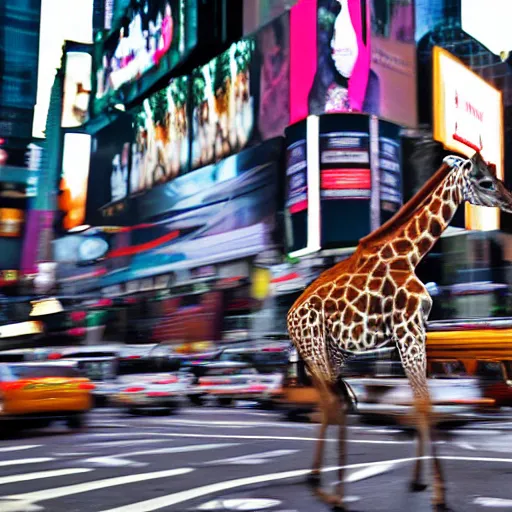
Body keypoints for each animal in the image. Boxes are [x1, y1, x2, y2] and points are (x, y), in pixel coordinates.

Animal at [288, 150, 512, 510]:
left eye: (495, 176)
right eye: (485, 181)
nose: (509, 200)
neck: (409, 255)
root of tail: (289, 317)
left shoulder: (414, 331)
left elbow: (419, 400)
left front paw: (419, 481)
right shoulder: (407, 328)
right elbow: (424, 403)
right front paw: (438, 493)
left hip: (329, 354)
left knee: (328, 403)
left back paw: (318, 480)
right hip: (315, 350)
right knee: (335, 404)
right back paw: (335, 493)